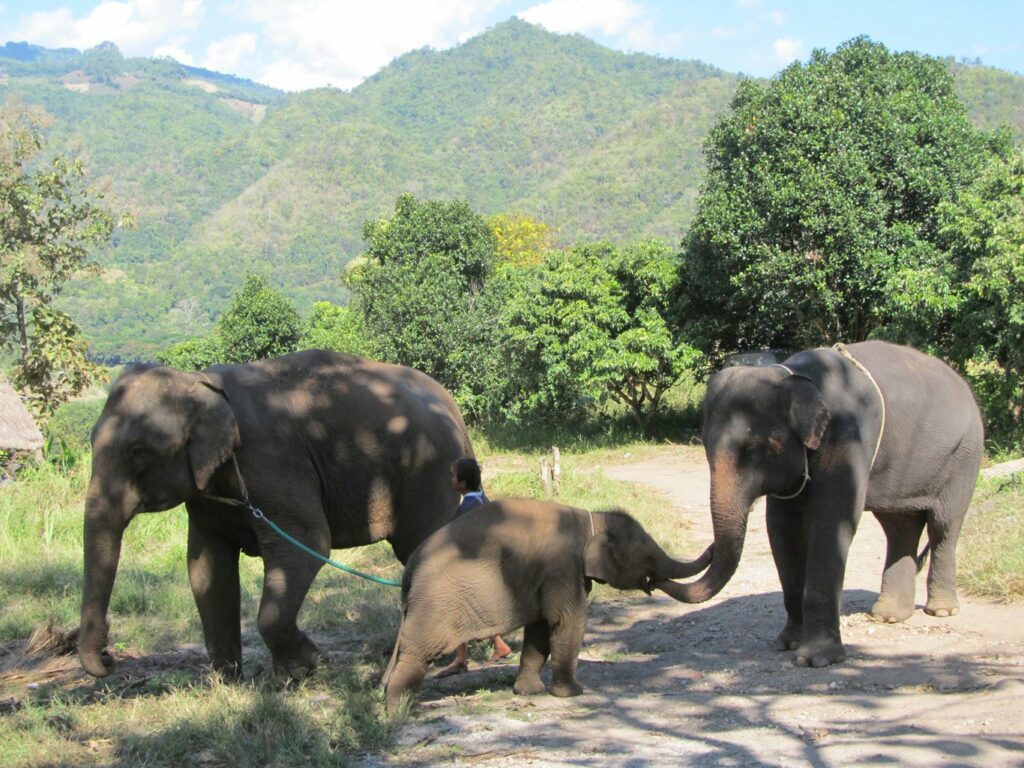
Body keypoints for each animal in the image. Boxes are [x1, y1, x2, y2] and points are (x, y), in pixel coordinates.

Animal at [80, 349, 473, 680]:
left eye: (138, 451)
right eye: (91, 440)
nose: (109, 657)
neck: (201, 382)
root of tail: (451, 404)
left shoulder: (271, 461)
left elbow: (307, 543)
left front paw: (302, 670)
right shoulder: (207, 491)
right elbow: (206, 567)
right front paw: (228, 681)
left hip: (429, 470)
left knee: (421, 549)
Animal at [382, 497, 713, 713]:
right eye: (647, 558)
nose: (712, 547)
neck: (592, 519)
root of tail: (409, 571)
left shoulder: (545, 577)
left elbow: (540, 629)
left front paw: (529, 692)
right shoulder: (563, 568)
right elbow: (567, 622)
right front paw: (572, 694)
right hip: (434, 606)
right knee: (419, 652)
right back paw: (401, 712)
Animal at [656, 341, 983, 668]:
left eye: (755, 450)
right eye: (706, 447)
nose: (709, 548)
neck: (795, 376)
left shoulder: (849, 436)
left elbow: (831, 522)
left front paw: (816, 659)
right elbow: (781, 529)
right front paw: (787, 643)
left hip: (965, 454)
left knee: (943, 525)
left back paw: (941, 610)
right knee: (898, 527)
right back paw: (888, 616)